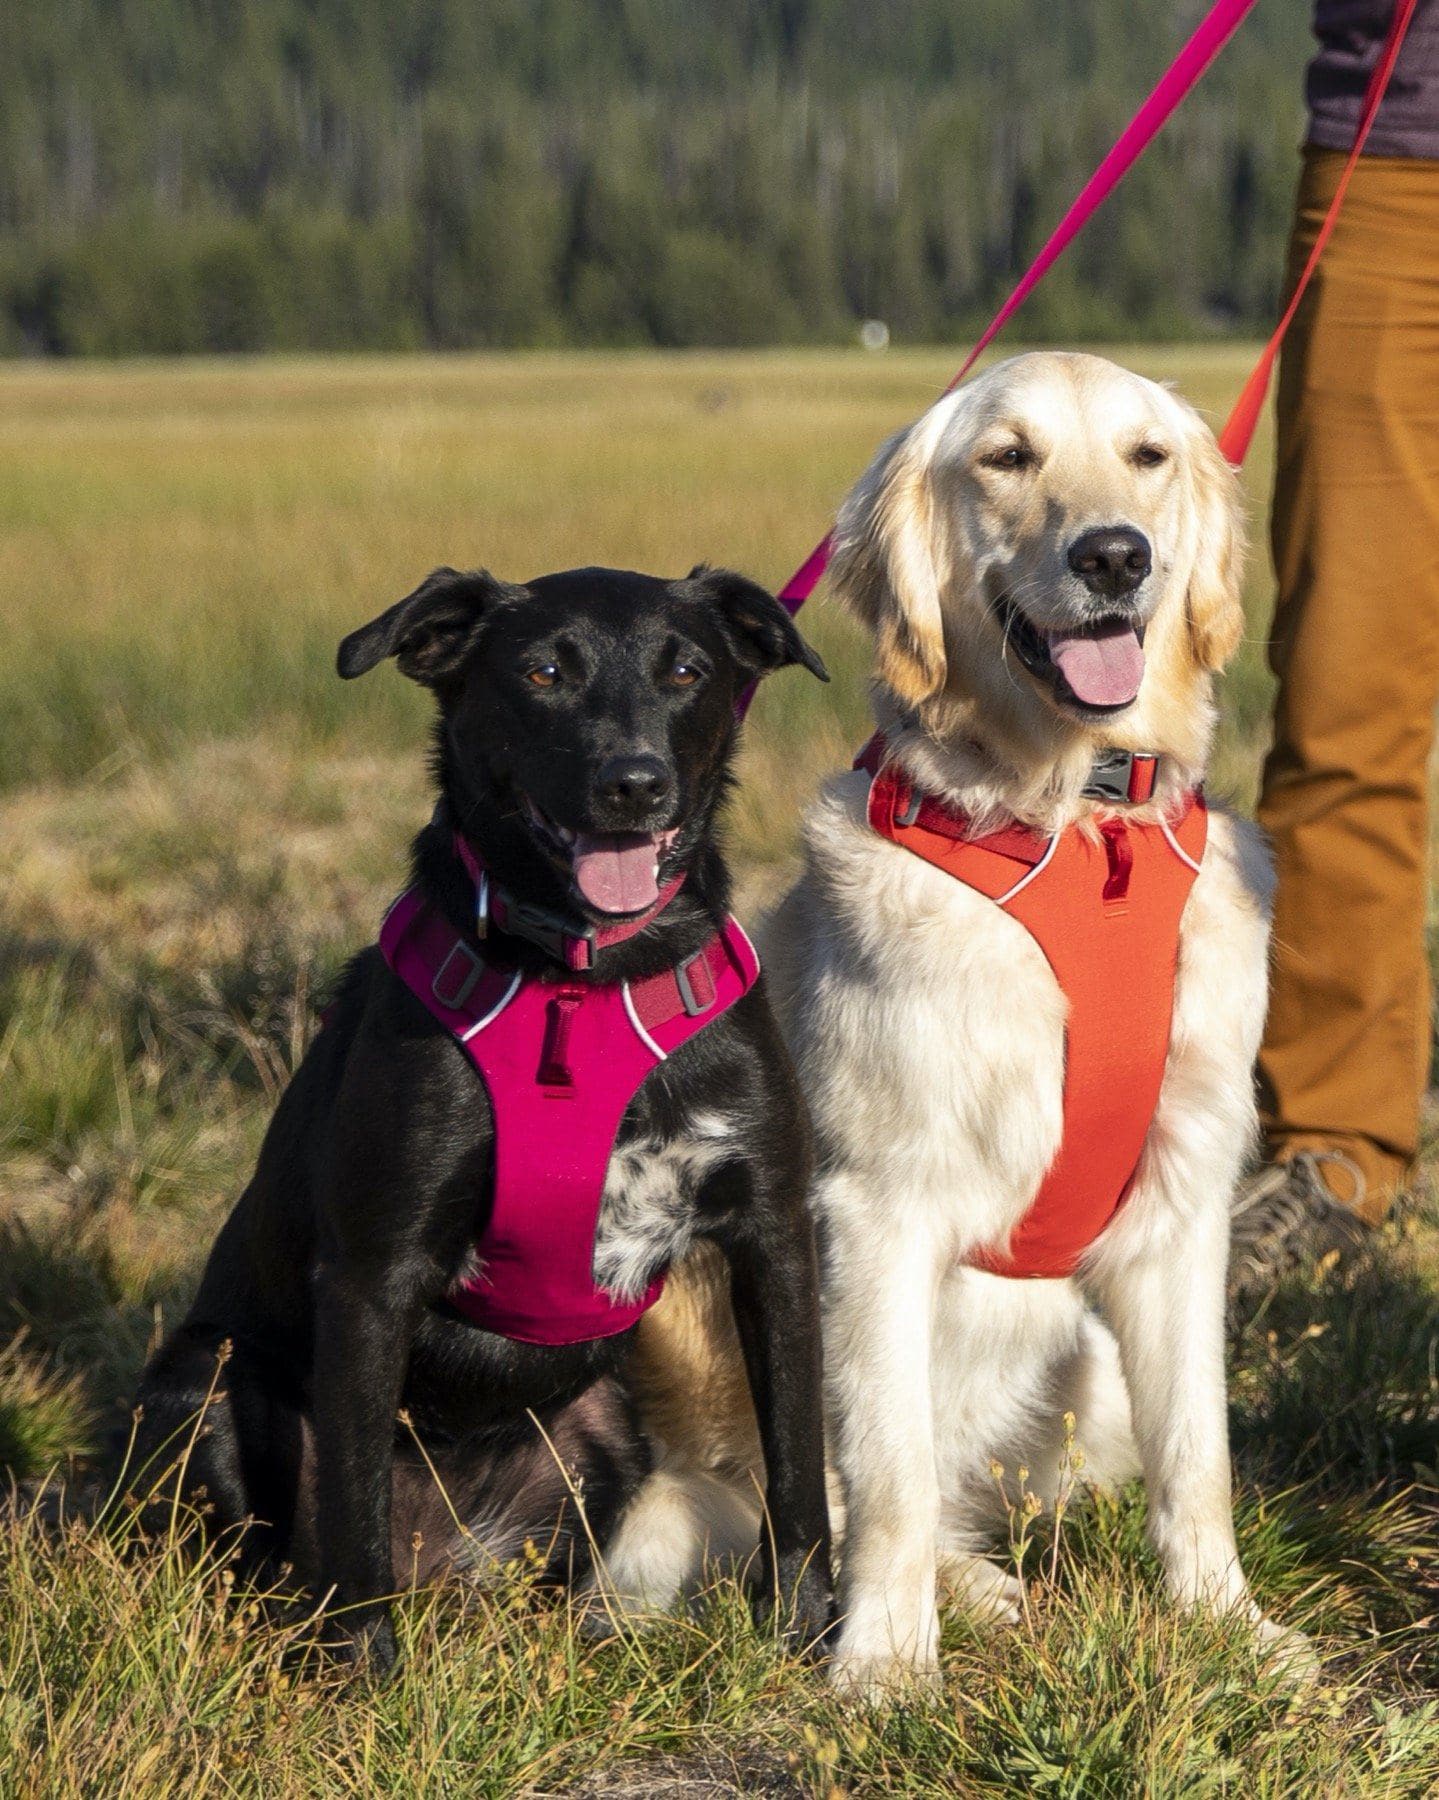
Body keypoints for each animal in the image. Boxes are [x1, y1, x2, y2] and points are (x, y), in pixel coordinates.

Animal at [137, 565, 832, 1670]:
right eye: (543, 671)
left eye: (686, 670)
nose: (632, 784)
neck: (585, 986)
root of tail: (449, 1557)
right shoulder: (372, 1275)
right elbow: (353, 1506)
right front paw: (363, 1677)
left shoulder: (773, 1236)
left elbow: (798, 1464)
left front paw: (810, 1636)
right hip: (200, 1381)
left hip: (606, 1433)